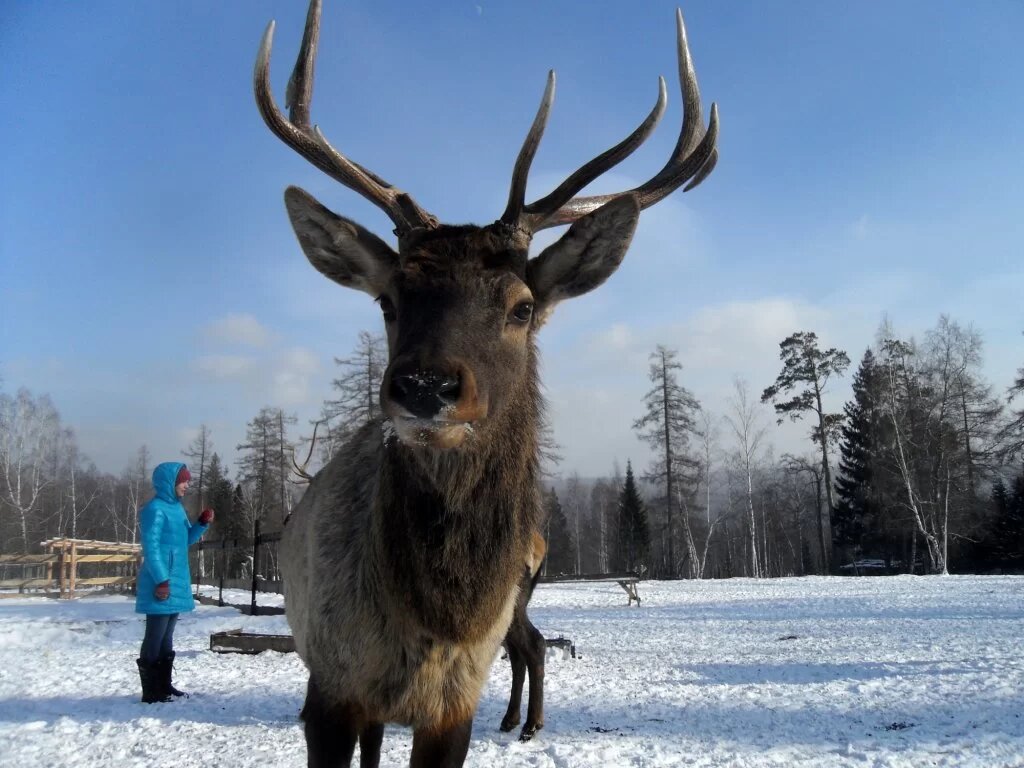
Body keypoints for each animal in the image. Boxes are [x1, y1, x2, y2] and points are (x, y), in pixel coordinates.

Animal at [253, 0, 720, 765]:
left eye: (521, 307)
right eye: (388, 300)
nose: (424, 386)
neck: (437, 620)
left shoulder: (453, 705)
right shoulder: (330, 686)